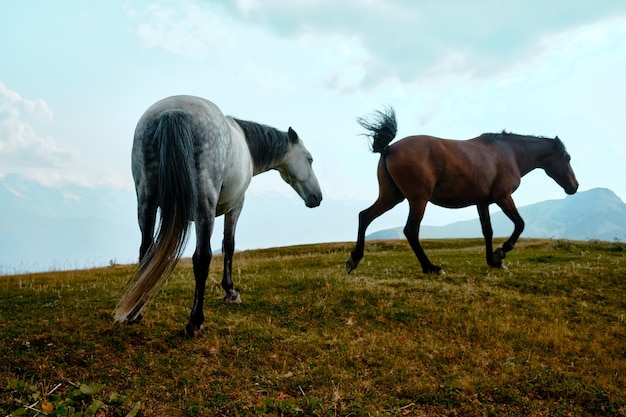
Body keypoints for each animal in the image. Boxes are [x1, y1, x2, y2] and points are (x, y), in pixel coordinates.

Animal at [113, 94, 322, 334]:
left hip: (146, 203)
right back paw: (195, 322)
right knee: (202, 257)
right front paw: (230, 292)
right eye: (309, 159)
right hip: (204, 206)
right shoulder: (236, 205)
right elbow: (228, 246)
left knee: (146, 251)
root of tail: (173, 111)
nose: (317, 197)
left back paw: (135, 312)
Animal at [346, 108, 576, 272]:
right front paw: (501, 253)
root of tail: (388, 148)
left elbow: (487, 231)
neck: (508, 152)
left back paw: (354, 259)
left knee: (365, 216)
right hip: (418, 200)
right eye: (567, 157)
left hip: (392, 197)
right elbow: (519, 224)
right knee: (410, 230)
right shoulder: (503, 197)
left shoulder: (482, 202)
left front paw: (492, 260)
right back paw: (430, 267)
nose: (575, 186)